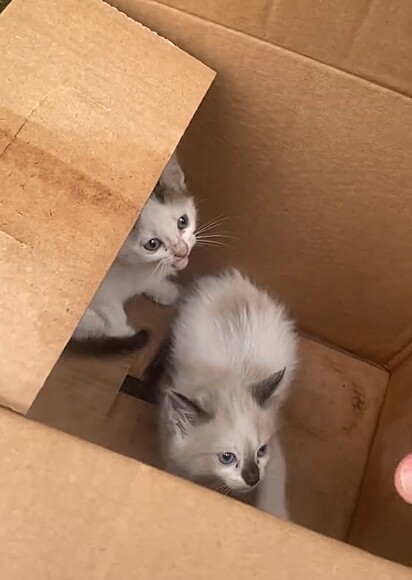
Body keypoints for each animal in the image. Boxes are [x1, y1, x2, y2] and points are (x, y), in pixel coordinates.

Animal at [73, 151, 197, 348]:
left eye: (183, 221)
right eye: (152, 244)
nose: (182, 251)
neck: (136, 267)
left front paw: (167, 292)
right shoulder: (102, 294)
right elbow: (112, 314)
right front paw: (122, 331)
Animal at [159, 268, 298, 516]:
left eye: (261, 451)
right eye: (226, 457)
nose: (253, 478)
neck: (230, 378)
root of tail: (229, 280)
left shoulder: (275, 456)